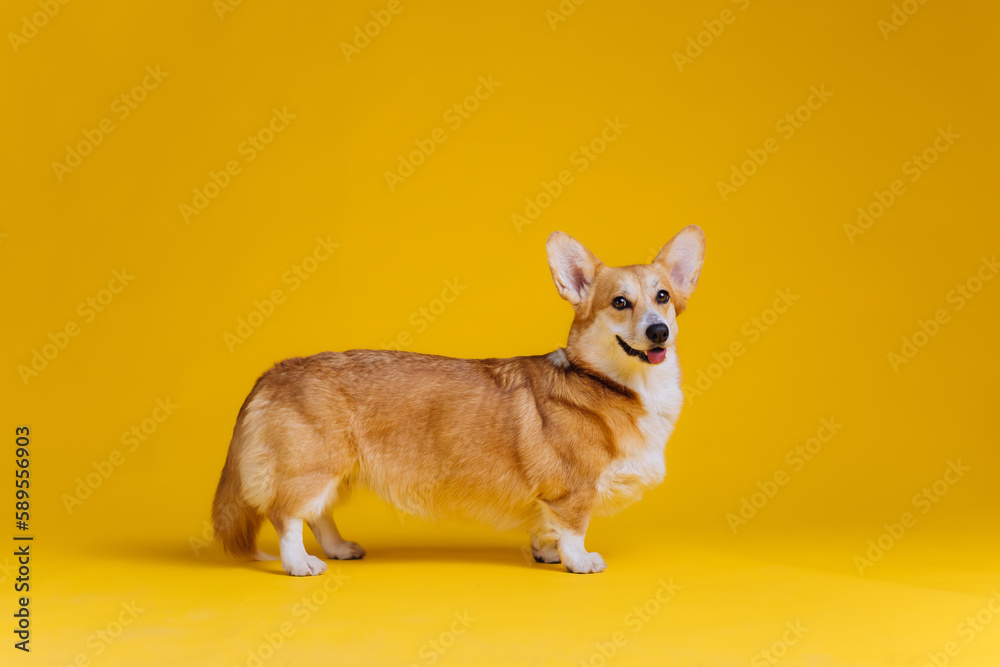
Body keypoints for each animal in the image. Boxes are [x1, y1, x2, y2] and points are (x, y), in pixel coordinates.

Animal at [215, 226, 708, 576]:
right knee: (286, 516)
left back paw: (339, 549)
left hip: (335, 470)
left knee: (318, 514)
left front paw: (546, 552)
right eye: (620, 302)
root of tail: (275, 372)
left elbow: (546, 527)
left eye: (663, 297)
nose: (659, 331)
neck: (613, 382)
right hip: (311, 466)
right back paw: (300, 564)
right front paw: (578, 561)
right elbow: (573, 528)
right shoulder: (574, 490)